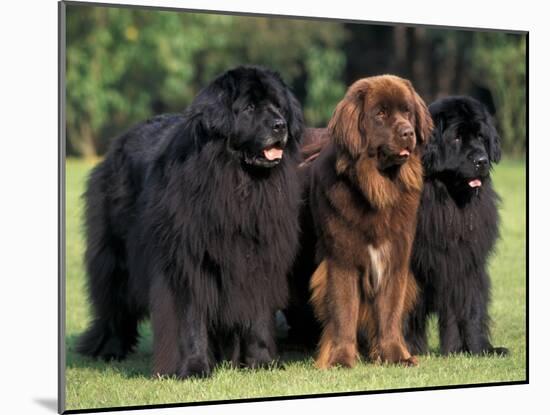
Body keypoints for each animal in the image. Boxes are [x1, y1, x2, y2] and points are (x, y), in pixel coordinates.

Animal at [77, 66, 304, 380]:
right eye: (249, 108)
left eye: (278, 106)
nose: (280, 125)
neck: (238, 183)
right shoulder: (185, 263)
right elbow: (190, 319)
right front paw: (194, 367)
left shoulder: (259, 259)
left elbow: (257, 315)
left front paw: (262, 362)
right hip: (115, 255)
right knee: (113, 302)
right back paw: (109, 349)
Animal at [286, 74, 434, 368]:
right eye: (380, 114)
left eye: (407, 112)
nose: (408, 132)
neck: (376, 190)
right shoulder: (342, 260)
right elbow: (344, 310)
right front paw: (340, 359)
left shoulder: (395, 257)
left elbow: (389, 311)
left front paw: (395, 356)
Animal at [408, 96, 512, 356]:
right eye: (456, 138)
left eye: (481, 137)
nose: (481, 161)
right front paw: (407, 349)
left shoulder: (467, 262)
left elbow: (471, 307)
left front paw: (476, 349)